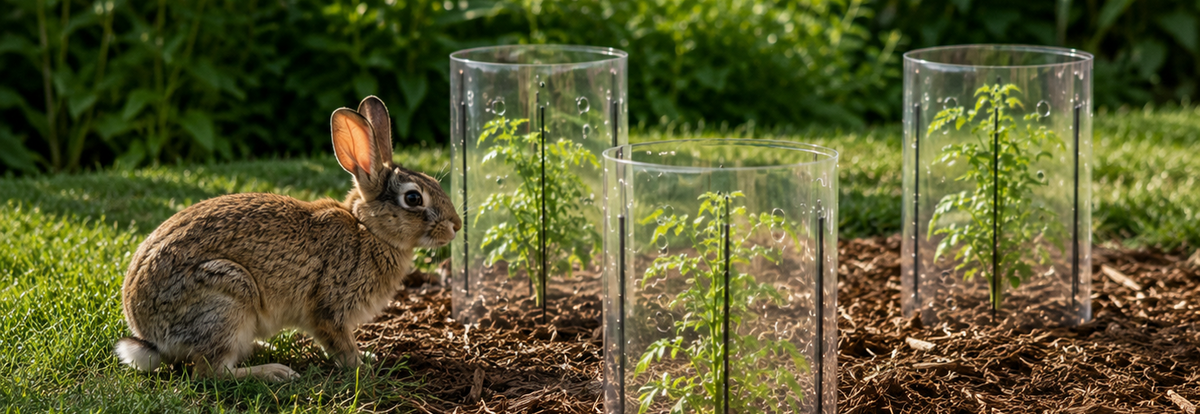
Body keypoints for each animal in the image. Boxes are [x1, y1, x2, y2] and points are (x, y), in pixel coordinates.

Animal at [115, 96, 461, 381]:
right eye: (413, 198)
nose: (456, 225)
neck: (367, 230)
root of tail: (147, 335)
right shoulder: (329, 308)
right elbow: (340, 344)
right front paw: (362, 367)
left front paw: (368, 356)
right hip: (226, 298)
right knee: (211, 372)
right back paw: (274, 372)